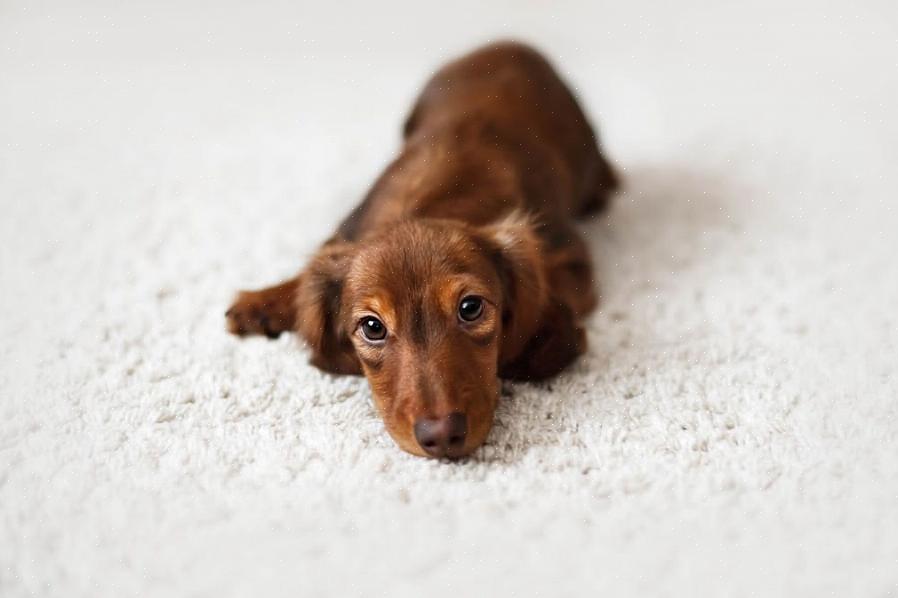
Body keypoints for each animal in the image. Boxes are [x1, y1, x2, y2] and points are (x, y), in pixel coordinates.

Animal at [226, 42, 616, 462]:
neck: (438, 199)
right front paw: (262, 302)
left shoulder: (569, 258)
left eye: (471, 308)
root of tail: (506, 42)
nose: (442, 436)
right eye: (372, 327)